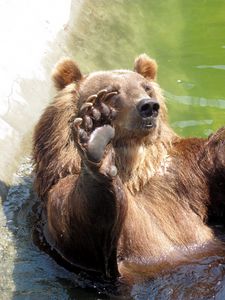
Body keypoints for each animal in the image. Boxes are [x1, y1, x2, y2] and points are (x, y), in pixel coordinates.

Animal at [32, 54, 225, 282]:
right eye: (113, 92)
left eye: (146, 88)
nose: (149, 106)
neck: (134, 173)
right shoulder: (57, 193)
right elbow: (80, 225)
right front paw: (97, 133)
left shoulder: (184, 173)